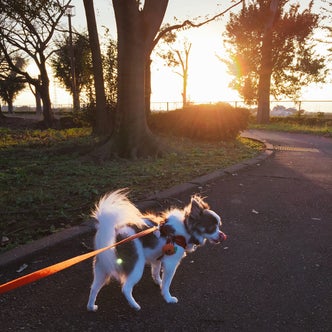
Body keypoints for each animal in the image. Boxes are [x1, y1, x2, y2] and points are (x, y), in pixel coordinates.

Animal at [86, 189, 226, 312]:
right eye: (212, 228)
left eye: (219, 226)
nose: (222, 235)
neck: (185, 229)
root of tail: (115, 233)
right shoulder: (171, 263)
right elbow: (166, 283)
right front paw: (168, 298)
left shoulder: (157, 259)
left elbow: (155, 272)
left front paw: (159, 282)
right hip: (136, 266)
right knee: (125, 288)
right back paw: (135, 305)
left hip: (102, 267)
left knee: (94, 288)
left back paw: (91, 306)